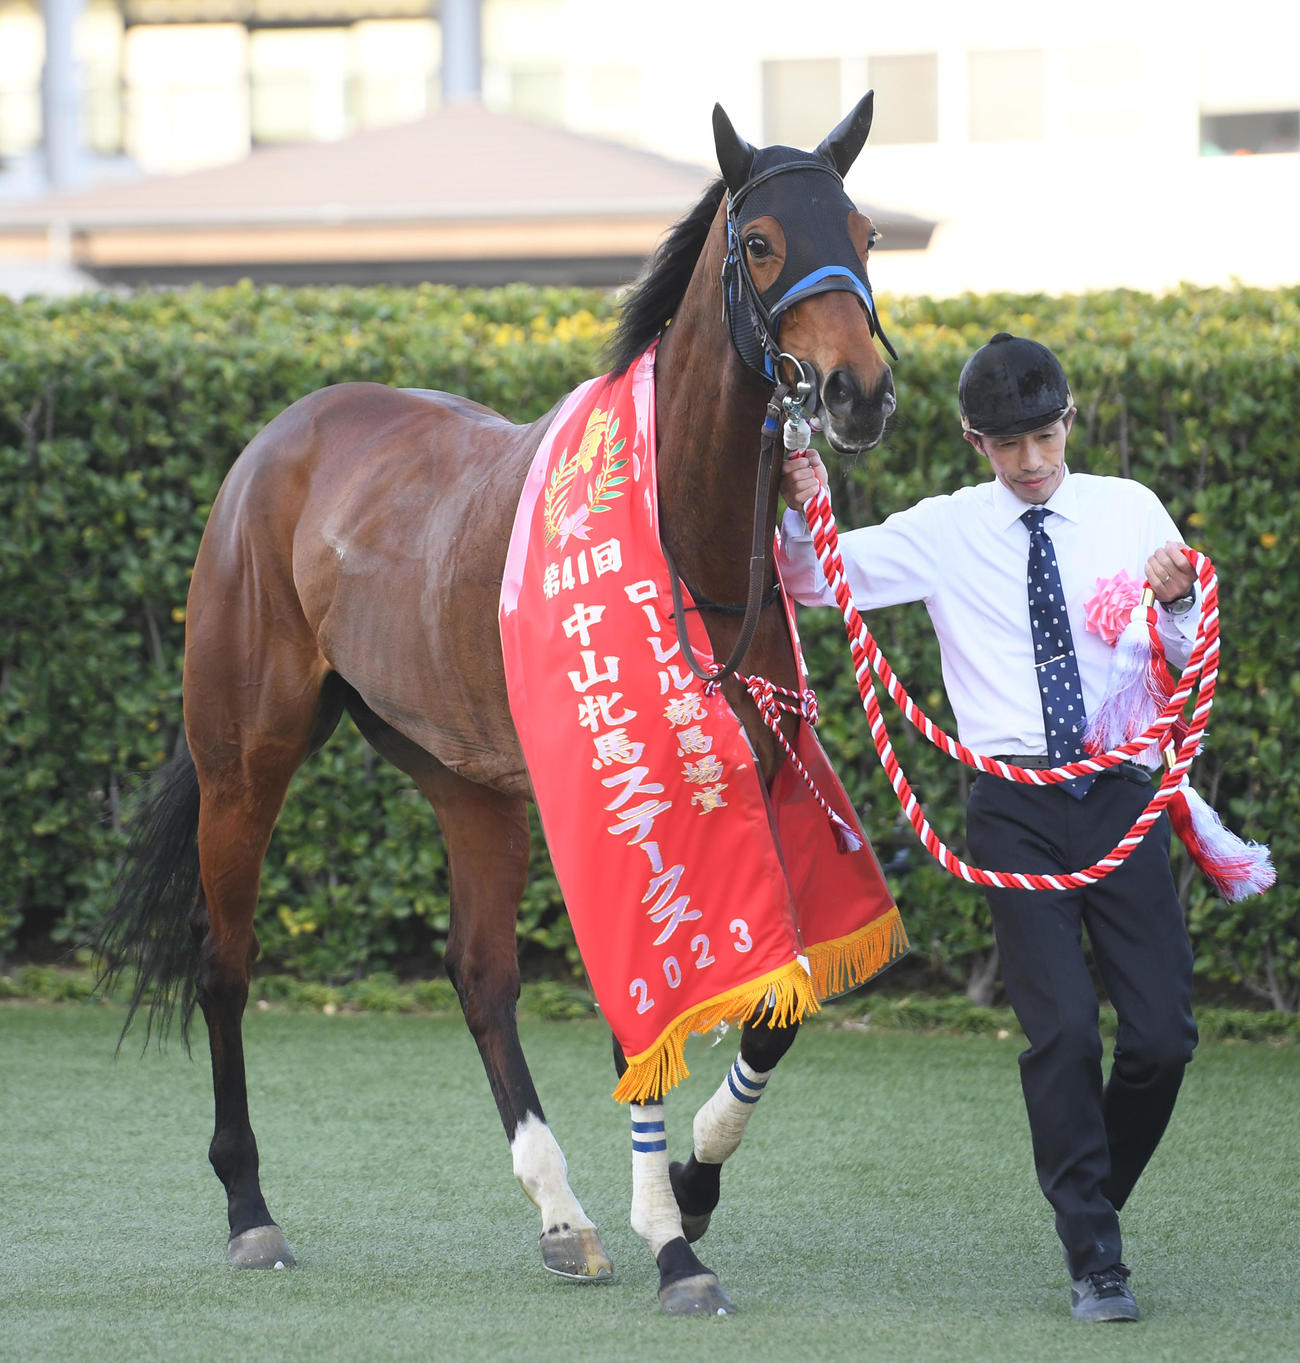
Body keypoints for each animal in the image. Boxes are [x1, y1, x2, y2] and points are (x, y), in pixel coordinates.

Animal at [96, 94, 897, 1316]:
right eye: (761, 243)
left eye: (862, 233)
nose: (858, 390)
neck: (682, 540)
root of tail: (283, 434)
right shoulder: (617, 801)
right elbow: (639, 1011)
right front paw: (674, 1244)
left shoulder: (750, 774)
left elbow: (779, 1006)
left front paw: (693, 1183)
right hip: (244, 755)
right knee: (224, 958)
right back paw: (248, 1207)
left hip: (465, 776)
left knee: (479, 973)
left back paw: (562, 1212)